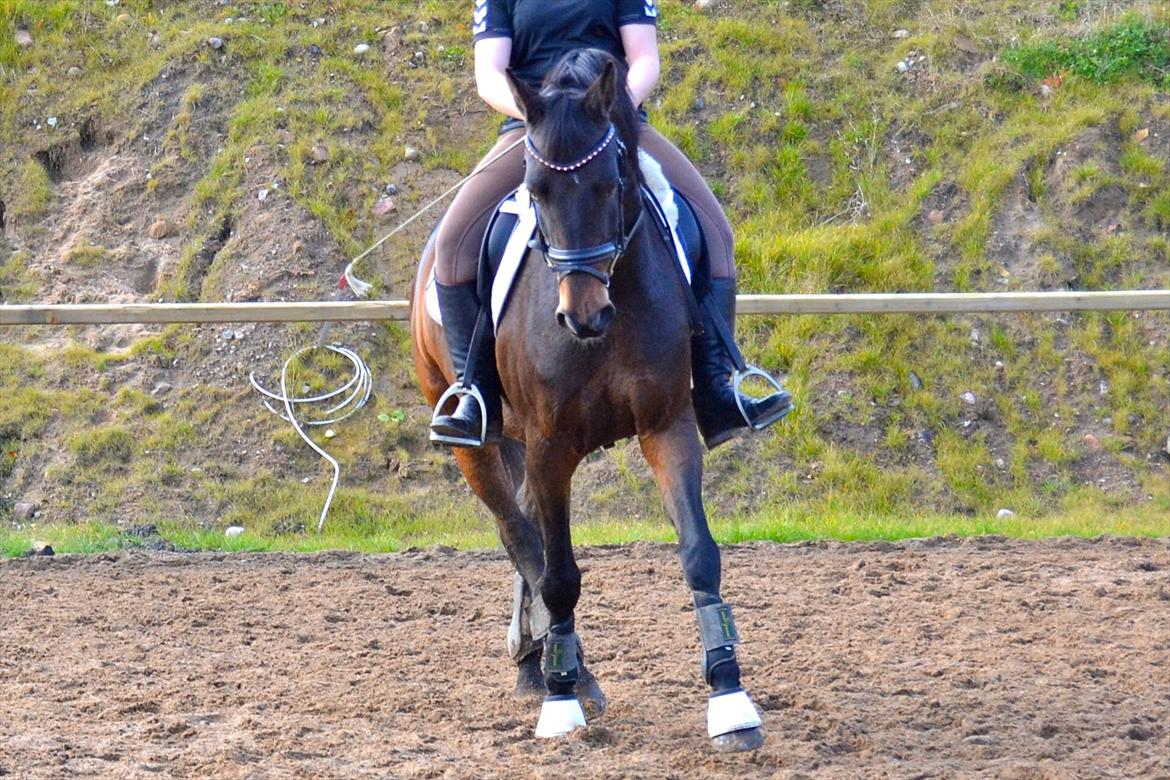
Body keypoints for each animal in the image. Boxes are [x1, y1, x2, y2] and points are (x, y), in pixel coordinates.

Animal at [411, 50, 767, 757]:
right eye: (536, 193)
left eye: (608, 185)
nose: (583, 316)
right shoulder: (551, 447)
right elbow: (558, 573)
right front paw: (561, 703)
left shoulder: (666, 428)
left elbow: (700, 553)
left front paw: (729, 699)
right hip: (475, 434)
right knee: (517, 533)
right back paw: (554, 671)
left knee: (524, 530)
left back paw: (539, 663)